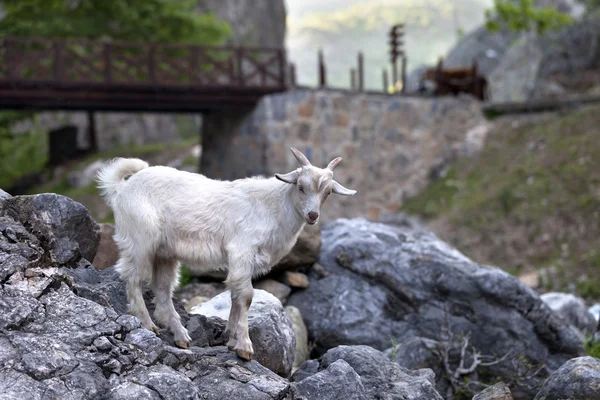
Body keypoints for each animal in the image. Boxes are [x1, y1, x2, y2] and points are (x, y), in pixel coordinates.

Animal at [96, 147, 354, 360]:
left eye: (328, 192)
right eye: (300, 186)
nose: (312, 215)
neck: (272, 207)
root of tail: (122, 188)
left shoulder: (242, 262)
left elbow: (236, 295)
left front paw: (231, 339)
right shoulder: (242, 251)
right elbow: (247, 296)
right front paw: (244, 347)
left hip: (165, 253)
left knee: (161, 288)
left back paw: (181, 336)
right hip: (140, 239)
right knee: (132, 277)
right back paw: (148, 325)